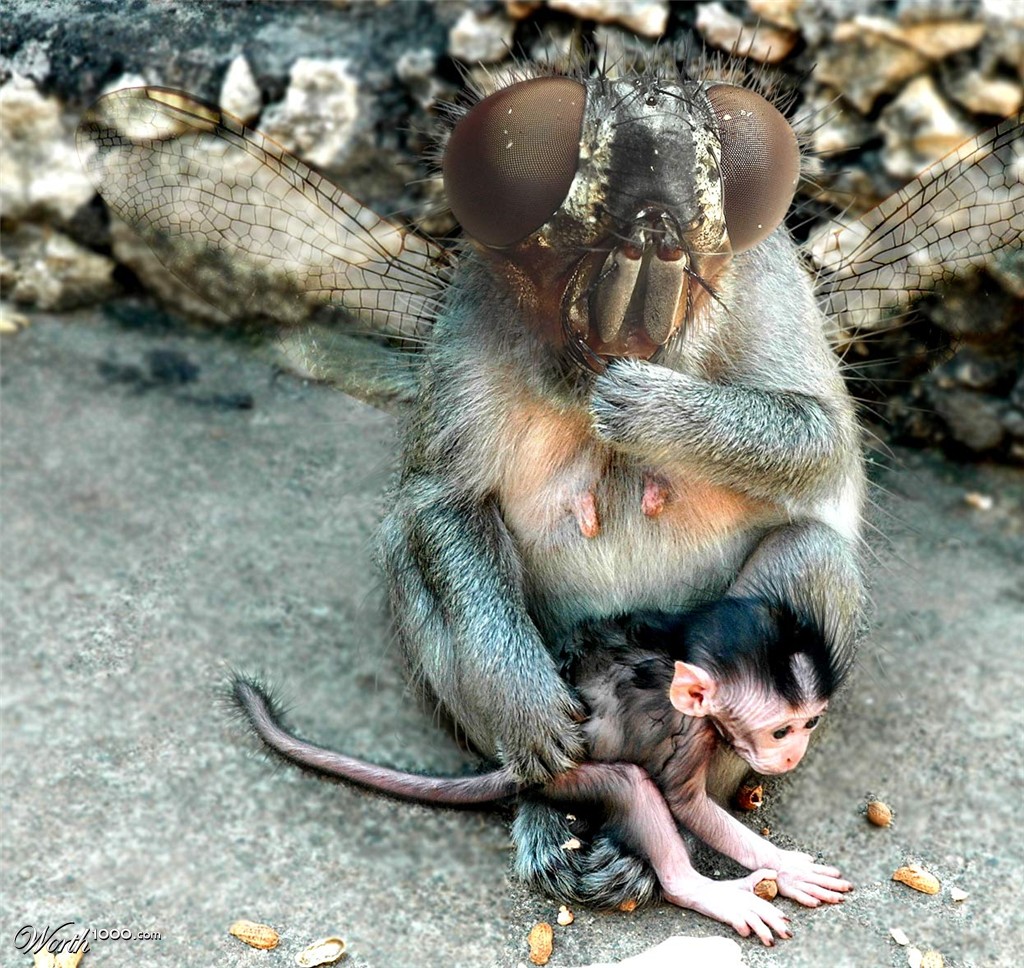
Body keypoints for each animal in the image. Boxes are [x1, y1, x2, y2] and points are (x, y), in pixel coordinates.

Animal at [233, 596, 853, 945]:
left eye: (810, 723)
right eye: (781, 730)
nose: (793, 754)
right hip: (570, 775)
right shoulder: (689, 730)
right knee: (633, 785)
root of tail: (519, 761)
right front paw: (784, 866)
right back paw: (699, 889)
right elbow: (686, 803)